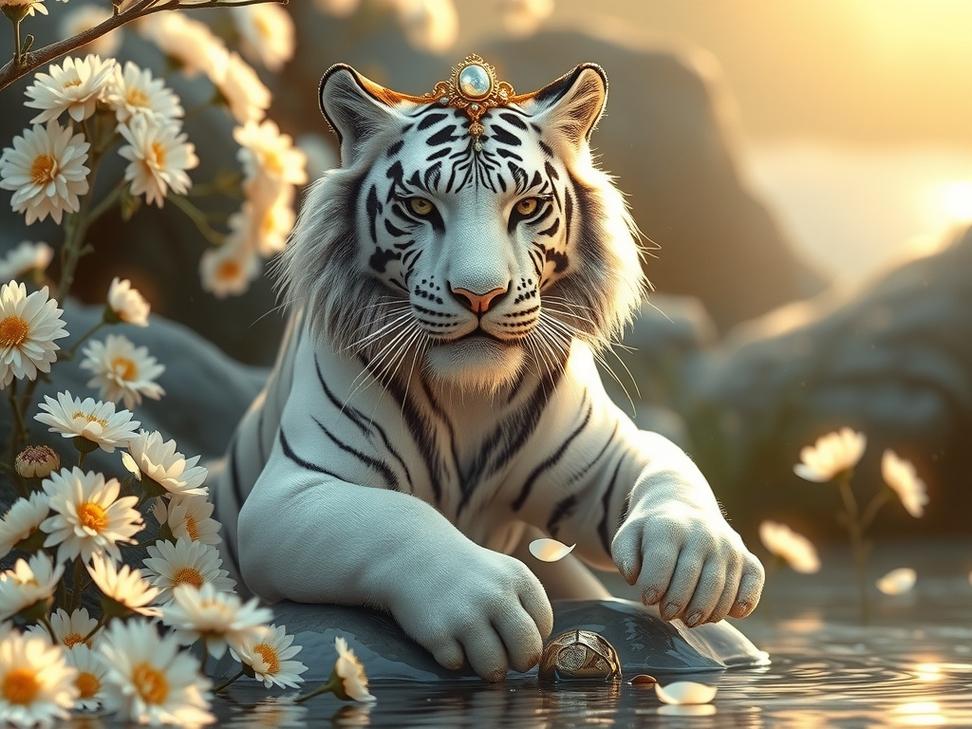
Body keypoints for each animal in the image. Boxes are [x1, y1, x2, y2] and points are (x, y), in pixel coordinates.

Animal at [212, 57, 765, 682]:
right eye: (420, 207)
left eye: (525, 207)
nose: (480, 294)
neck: (469, 395)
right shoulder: (291, 493)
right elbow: (391, 519)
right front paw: (487, 602)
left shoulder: (602, 460)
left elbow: (672, 462)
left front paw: (696, 556)